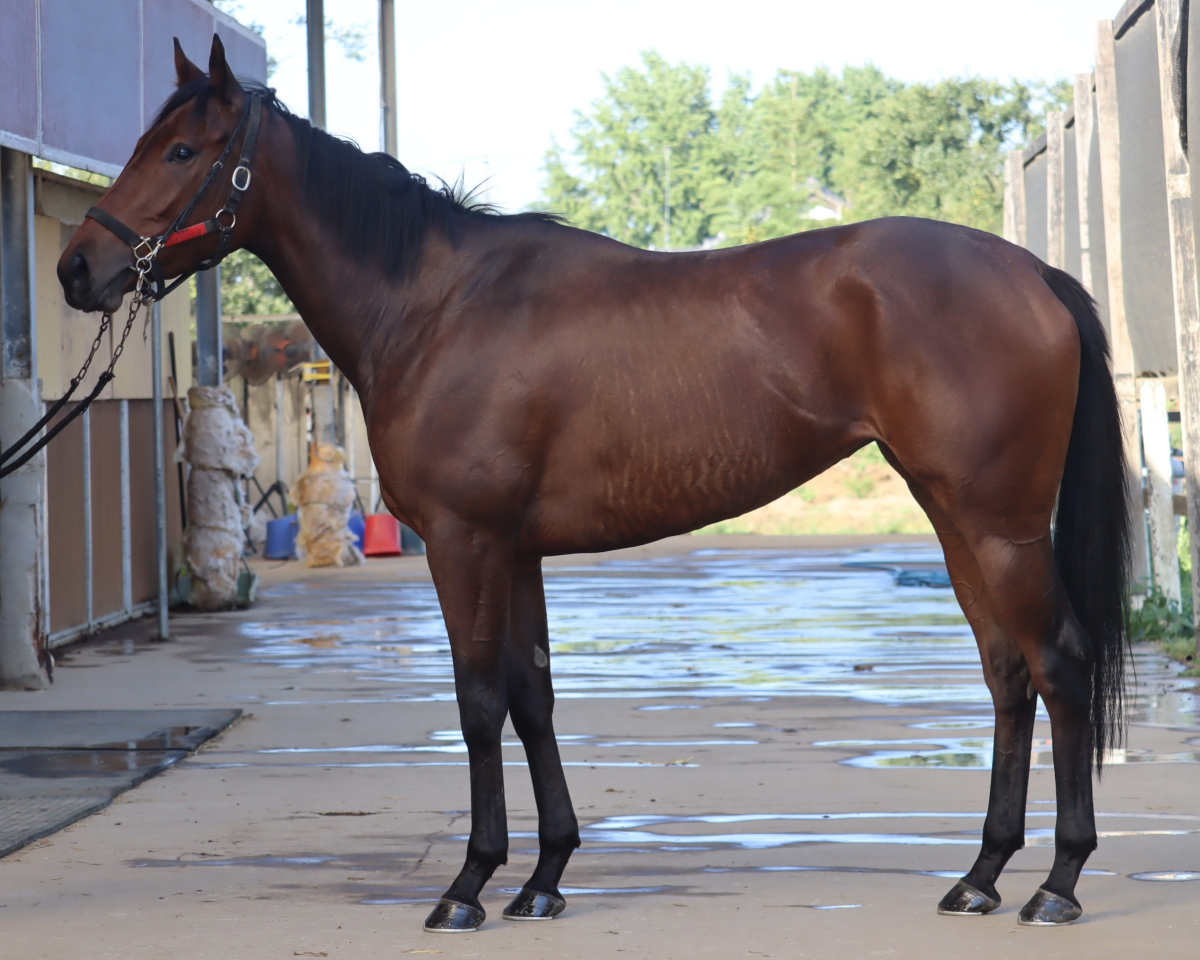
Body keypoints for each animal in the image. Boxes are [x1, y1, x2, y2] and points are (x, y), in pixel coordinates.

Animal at [59, 35, 1131, 932]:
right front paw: (542, 878)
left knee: (1060, 663)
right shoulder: (516, 549)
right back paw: (981, 875)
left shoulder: (467, 542)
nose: (78, 267)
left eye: (183, 151)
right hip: (955, 518)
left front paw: (467, 885)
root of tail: (1031, 273)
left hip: (998, 525)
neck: (435, 306)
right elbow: (533, 695)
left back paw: (1057, 884)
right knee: (1007, 672)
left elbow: (478, 700)